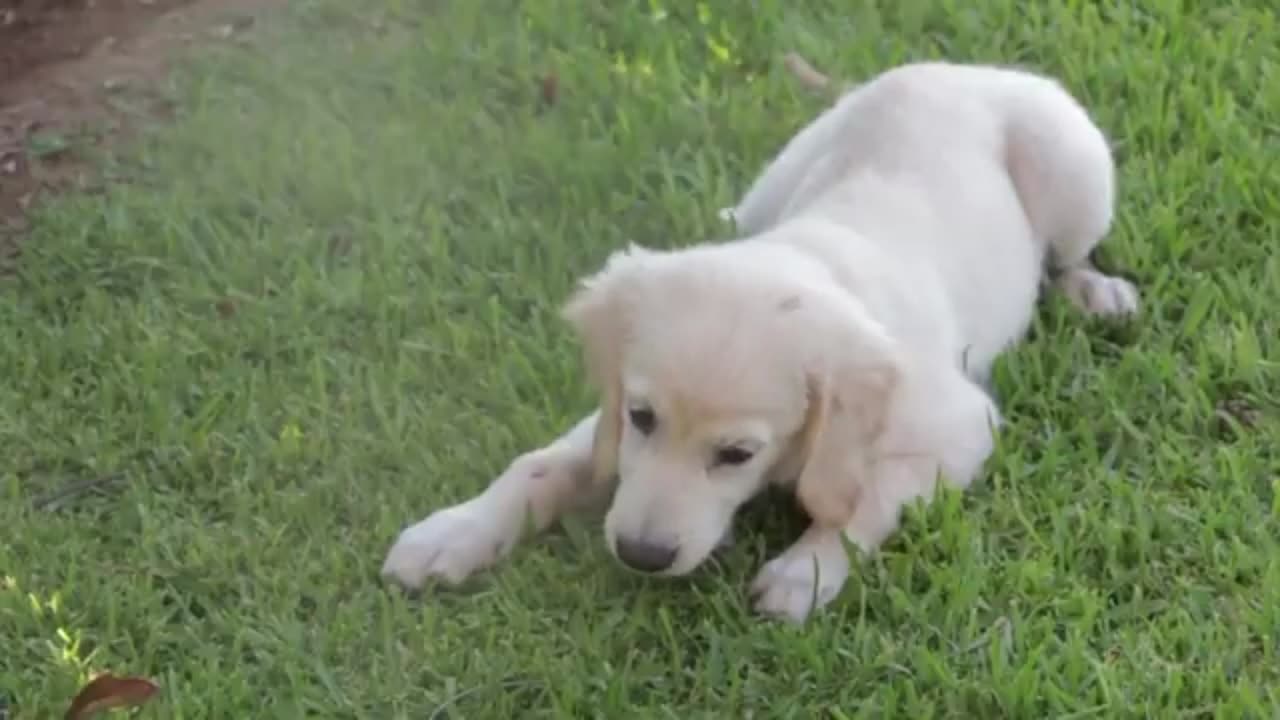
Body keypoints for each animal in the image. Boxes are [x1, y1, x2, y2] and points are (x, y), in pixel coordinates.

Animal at [378, 60, 1141, 622]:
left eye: (737, 454)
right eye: (642, 418)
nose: (640, 554)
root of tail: (960, 66)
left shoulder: (959, 428)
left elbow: (869, 494)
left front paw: (805, 572)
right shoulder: (610, 418)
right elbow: (539, 463)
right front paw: (452, 533)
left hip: (1075, 170)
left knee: (1067, 255)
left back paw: (1096, 293)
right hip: (784, 169)